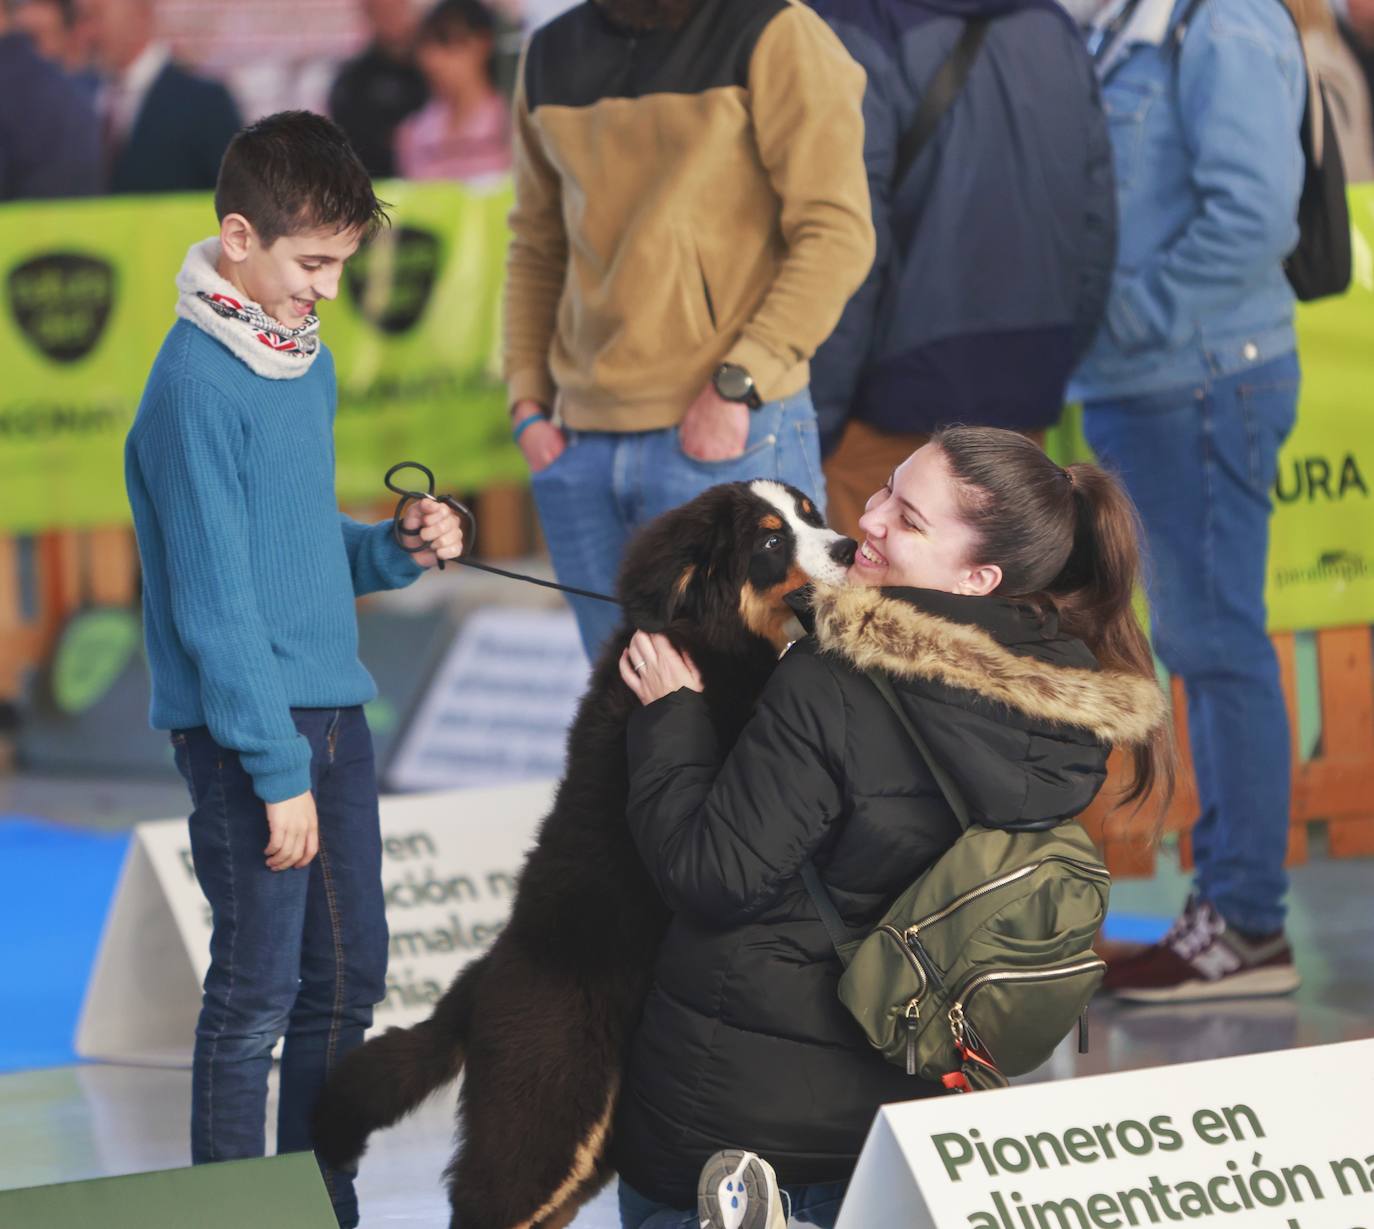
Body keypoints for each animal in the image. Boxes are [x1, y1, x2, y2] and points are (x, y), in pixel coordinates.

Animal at [314, 481, 846, 1229]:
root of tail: (481, 978)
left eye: (810, 515)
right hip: (549, 1106)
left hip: (585, 1141)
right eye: (772, 540)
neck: (711, 641)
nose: (850, 547)